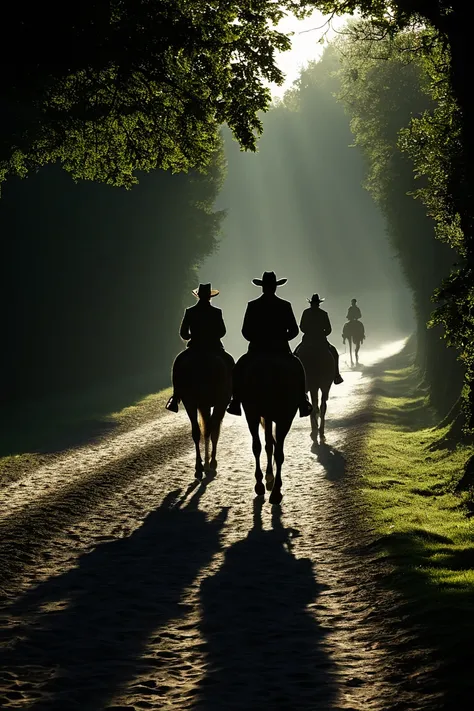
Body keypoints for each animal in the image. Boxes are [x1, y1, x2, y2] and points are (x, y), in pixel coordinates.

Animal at [173, 350, 234, 478]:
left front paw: (208, 463)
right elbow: (207, 431)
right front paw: (206, 464)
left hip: (204, 402)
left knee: (206, 430)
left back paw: (205, 464)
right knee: (208, 430)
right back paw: (206, 464)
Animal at [243, 354, 298, 504]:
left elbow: (271, 448)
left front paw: (270, 483)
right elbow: (267, 447)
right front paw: (268, 481)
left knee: (268, 447)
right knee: (265, 447)